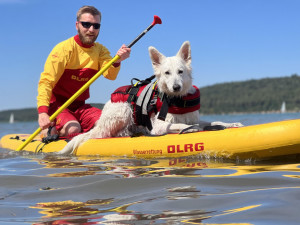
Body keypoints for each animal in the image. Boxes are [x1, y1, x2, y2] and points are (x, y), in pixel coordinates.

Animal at [59, 40, 244, 155]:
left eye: (180, 72)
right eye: (167, 73)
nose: (176, 87)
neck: (176, 99)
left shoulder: (194, 118)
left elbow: (214, 122)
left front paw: (232, 124)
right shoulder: (159, 126)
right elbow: (182, 126)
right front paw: (191, 129)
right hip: (123, 110)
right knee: (101, 134)